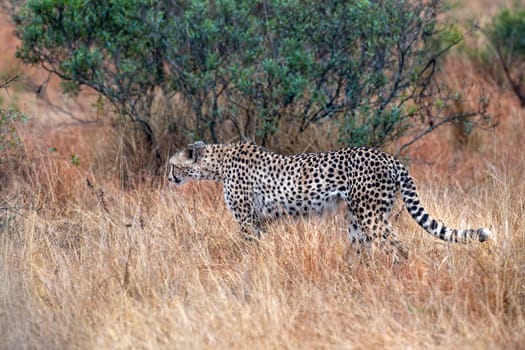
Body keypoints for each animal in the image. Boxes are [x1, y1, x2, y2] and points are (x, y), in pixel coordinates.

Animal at [168, 140, 492, 258]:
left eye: (172, 165)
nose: (168, 177)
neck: (218, 162)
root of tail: (389, 157)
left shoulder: (248, 220)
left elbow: (248, 248)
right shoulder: (261, 221)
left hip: (371, 216)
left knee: (398, 247)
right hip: (357, 219)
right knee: (363, 249)